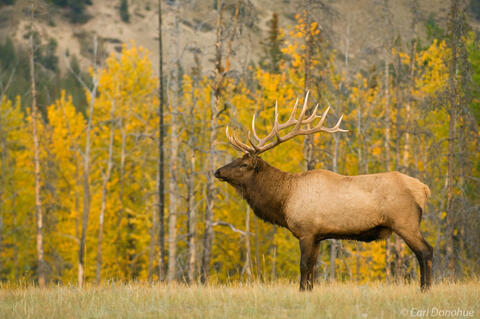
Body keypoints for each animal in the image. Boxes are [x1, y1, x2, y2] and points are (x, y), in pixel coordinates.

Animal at [216, 92, 434, 292]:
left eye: (243, 164)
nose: (217, 171)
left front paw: (302, 290)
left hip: (405, 222)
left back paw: (425, 288)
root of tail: (424, 189)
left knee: (425, 251)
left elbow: (304, 266)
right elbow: (312, 267)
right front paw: (309, 290)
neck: (284, 199)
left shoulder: (306, 231)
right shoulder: (318, 235)